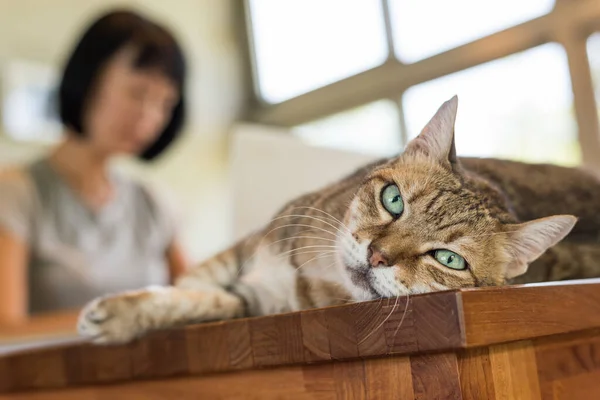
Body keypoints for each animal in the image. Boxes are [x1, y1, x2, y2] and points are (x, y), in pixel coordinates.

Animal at [77, 96, 600, 344]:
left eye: (449, 259)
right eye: (393, 200)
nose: (377, 255)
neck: (312, 271)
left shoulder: (260, 302)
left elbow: (207, 303)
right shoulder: (253, 244)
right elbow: (195, 286)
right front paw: (130, 307)